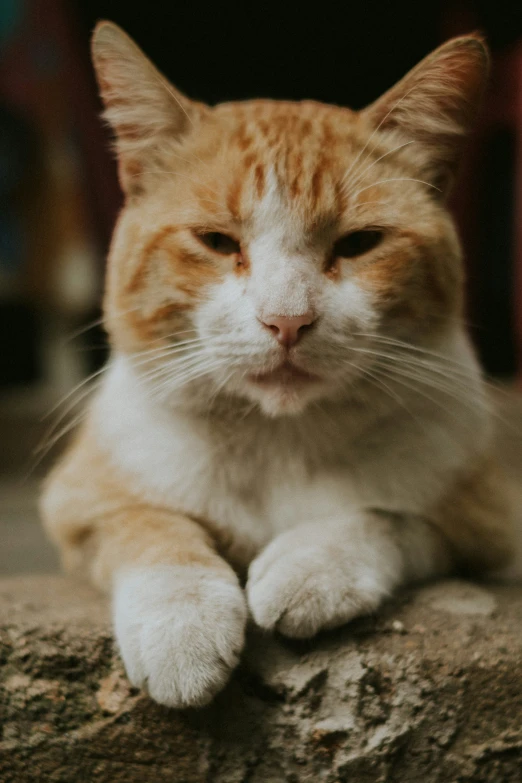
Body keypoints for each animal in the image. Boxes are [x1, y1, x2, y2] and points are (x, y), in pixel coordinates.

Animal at [39, 23, 516, 712]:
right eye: (217, 242)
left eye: (359, 244)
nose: (287, 321)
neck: (277, 437)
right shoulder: (79, 506)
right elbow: (151, 527)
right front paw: (182, 625)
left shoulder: (488, 527)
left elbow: (391, 515)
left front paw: (311, 566)